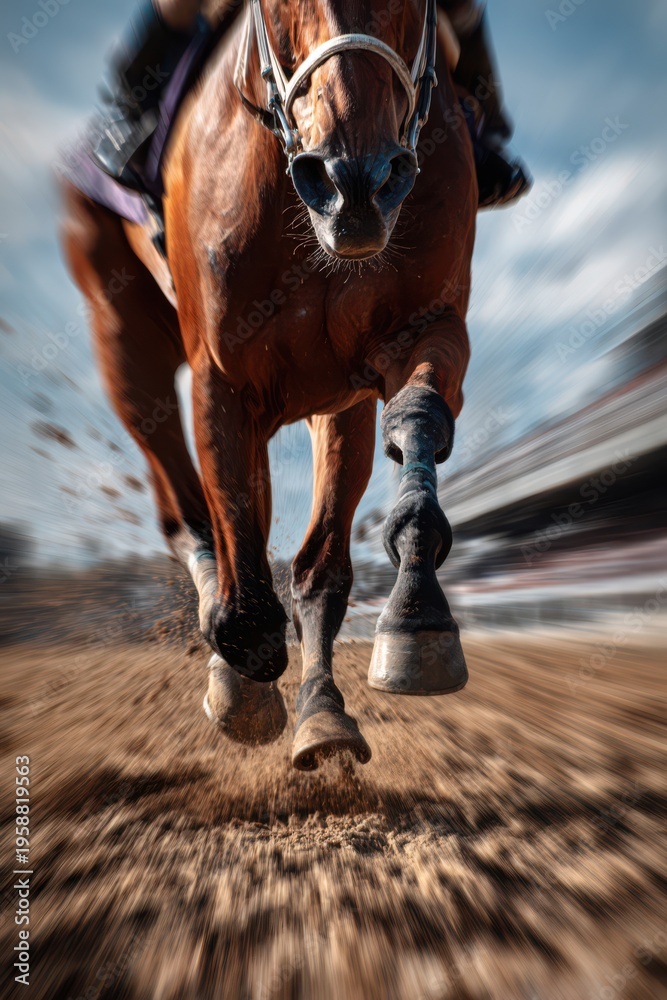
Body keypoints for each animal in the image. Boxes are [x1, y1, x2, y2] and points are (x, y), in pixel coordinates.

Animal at [61, 0, 476, 770]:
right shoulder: (221, 378)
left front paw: (410, 619)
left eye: (416, 6)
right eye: (279, 5)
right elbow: (246, 601)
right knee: (189, 509)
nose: (354, 182)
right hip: (122, 336)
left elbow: (415, 423)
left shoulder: (404, 345)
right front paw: (242, 675)